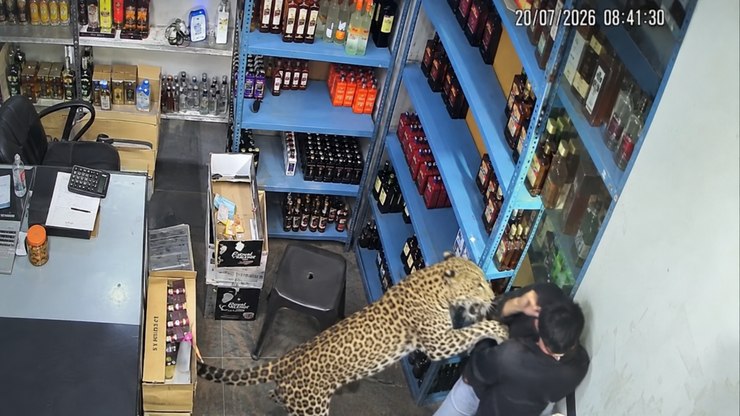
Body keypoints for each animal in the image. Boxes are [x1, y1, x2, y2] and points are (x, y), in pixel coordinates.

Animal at [197, 252, 509, 416]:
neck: (433, 282)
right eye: (479, 284)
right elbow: (473, 331)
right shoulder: (439, 343)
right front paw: (499, 329)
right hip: (314, 409)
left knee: (278, 395)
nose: (492, 295)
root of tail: (288, 358)